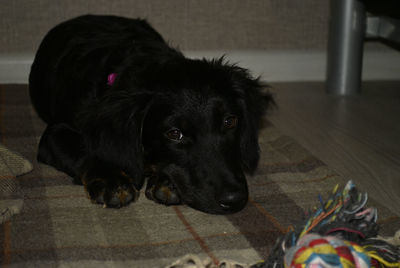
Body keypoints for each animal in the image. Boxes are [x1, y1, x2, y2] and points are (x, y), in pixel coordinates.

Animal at [29, 15, 274, 215]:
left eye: (230, 121)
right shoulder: (54, 133)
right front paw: (111, 180)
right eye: (174, 134)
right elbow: (84, 149)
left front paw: (166, 180)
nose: (234, 200)